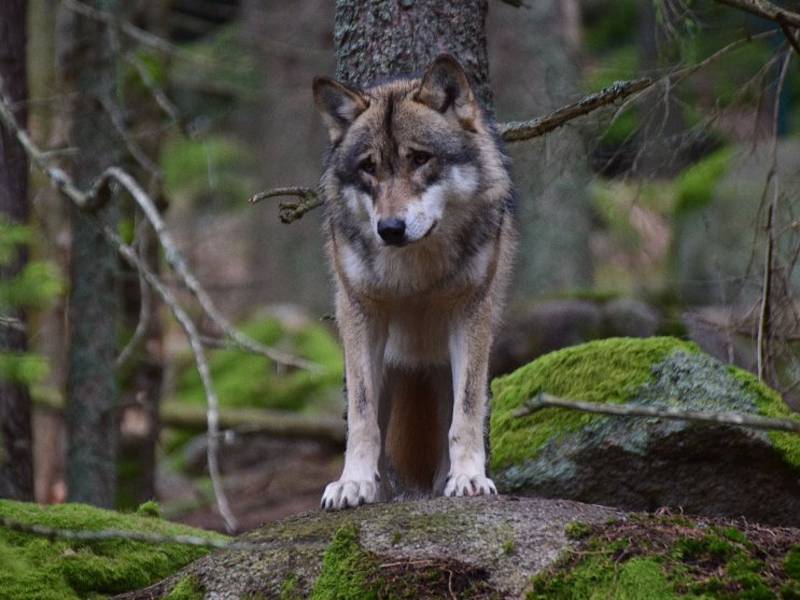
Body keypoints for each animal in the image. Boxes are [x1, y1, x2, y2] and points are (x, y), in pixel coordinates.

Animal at [310, 55, 516, 510]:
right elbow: (362, 417)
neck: (414, 272)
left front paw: (469, 478)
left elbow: (467, 412)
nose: (390, 229)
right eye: (368, 167)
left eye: (420, 159)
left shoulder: (470, 311)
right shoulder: (360, 313)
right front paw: (353, 482)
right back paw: (377, 489)